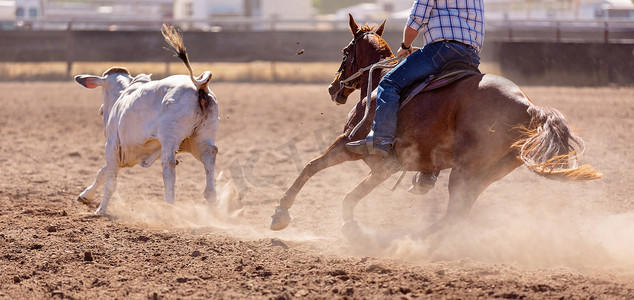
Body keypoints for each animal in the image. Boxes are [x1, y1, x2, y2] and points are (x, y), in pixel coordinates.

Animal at [73, 24, 217, 214]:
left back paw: (169, 205)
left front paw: (101, 209)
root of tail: (199, 85)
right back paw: (212, 201)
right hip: (202, 138)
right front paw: (85, 195)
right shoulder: (129, 154)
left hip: (170, 136)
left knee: (169, 164)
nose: (101, 110)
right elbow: (102, 173)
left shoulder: (112, 146)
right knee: (210, 157)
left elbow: (109, 179)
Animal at [270, 14, 600, 239]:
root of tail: (527, 106)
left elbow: (311, 167)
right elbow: (351, 194)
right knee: (461, 211)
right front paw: (351, 225)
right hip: (489, 171)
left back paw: (413, 240)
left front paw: (281, 213)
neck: (378, 84)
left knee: (456, 211)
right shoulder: (386, 167)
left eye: (344, 51)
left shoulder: (350, 145)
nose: (332, 88)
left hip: (465, 169)